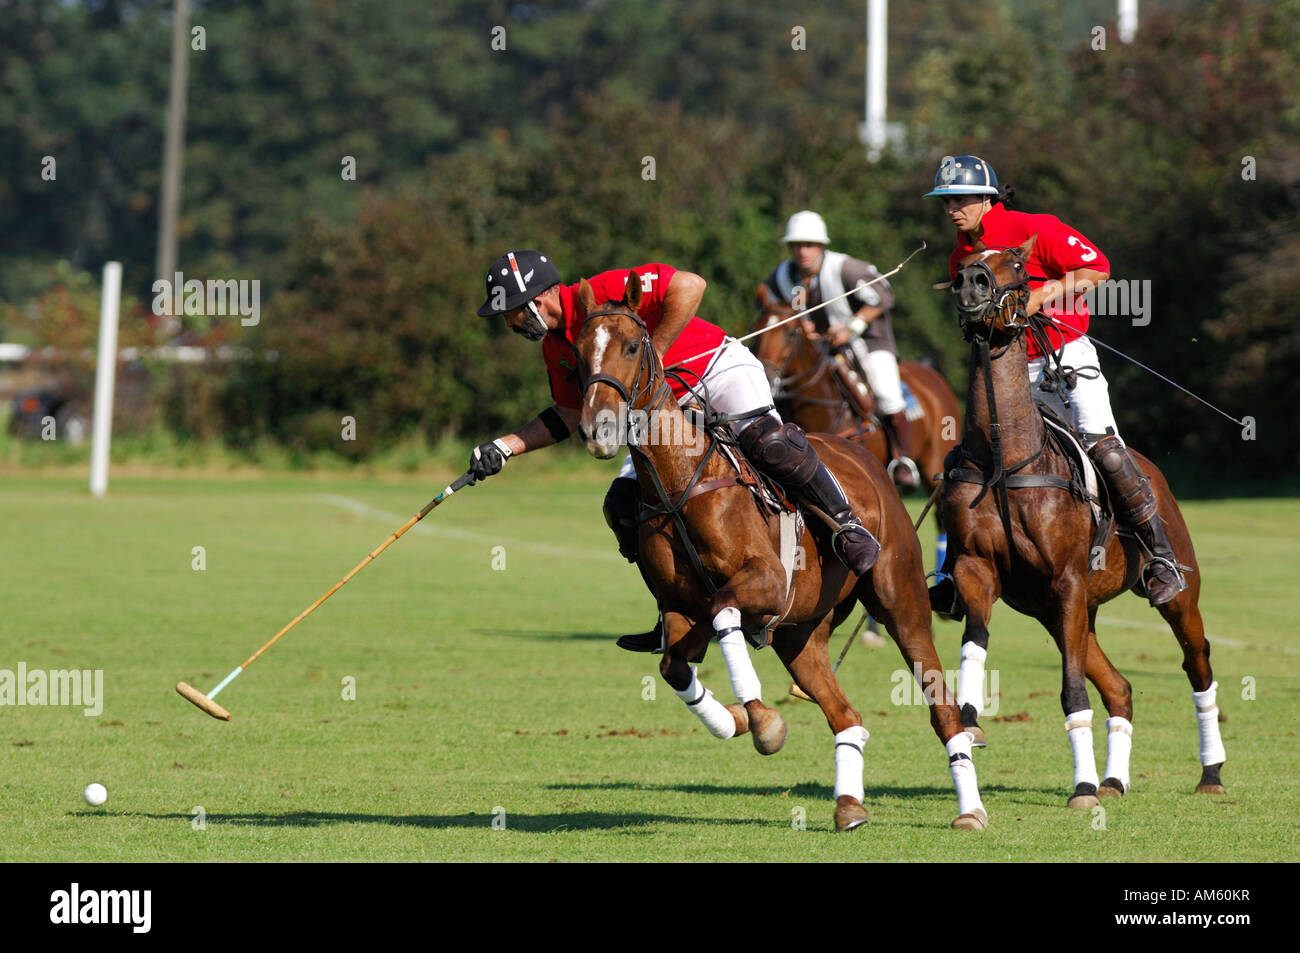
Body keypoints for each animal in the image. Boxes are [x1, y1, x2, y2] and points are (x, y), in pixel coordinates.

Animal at [574, 275, 987, 832]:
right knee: (846, 715)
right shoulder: (678, 608)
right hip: (801, 636)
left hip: (900, 601)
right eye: (578, 353)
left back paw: (970, 809)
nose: (599, 430)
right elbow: (675, 663)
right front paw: (737, 719)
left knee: (941, 707)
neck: (679, 481)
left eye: (632, 347)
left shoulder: (766, 584)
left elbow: (720, 611)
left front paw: (762, 720)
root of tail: (863, 456)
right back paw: (849, 806)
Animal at [935, 236, 1227, 800]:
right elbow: (975, 639)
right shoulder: (976, 568)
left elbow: (1072, 692)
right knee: (1120, 687)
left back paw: (1210, 772)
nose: (972, 285)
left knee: (1196, 662)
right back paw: (1114, 778)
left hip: (1173, 594)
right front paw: (971, 719)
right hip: (1064, 613)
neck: (1006, 460)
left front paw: (1083, 788)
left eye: (1019, 264)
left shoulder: (1067, 579)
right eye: (963, 262)